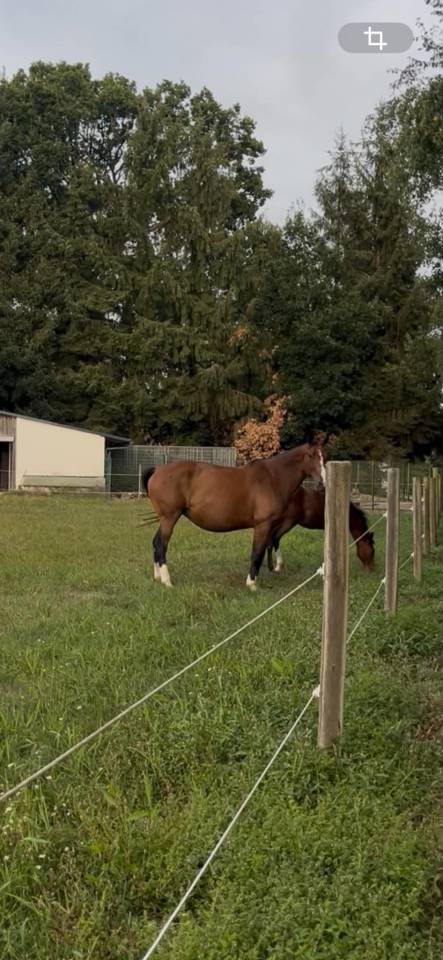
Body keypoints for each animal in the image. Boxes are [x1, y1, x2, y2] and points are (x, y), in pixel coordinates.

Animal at [143, 442, 326, 589]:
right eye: (311, 456)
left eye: (323, 457)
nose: (322, 484)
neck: (273, 477)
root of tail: (158, 469)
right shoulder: (263, 525)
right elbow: (257, 553)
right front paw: (252, 584)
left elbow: (267, 547)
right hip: (169, 518)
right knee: (161, 545)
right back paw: (167, 581)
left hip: (165, 519)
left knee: (155, 542)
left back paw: (158, 577)